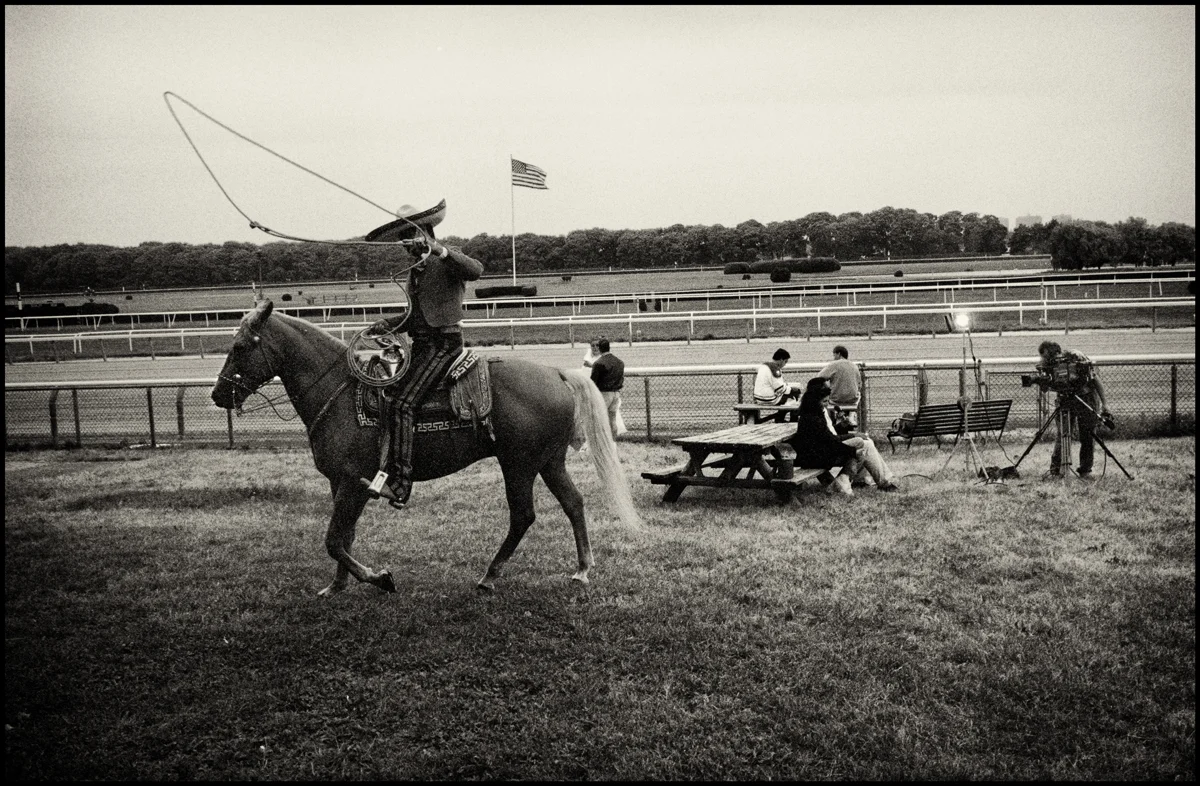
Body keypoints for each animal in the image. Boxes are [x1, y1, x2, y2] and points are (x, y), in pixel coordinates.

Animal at [210, 300, 641, 597]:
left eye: (242, 345)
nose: (218, 394)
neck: (340, 392)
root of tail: (556, 372)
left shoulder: (353, 483)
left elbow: (333, 539)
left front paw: (379, 578)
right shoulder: (340, 484)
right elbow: (344, 537)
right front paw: (337, 587)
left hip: (518, 464)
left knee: (523, 516)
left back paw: (489, 575)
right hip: (548, 462)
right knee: (574, 503)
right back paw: (581, 568)